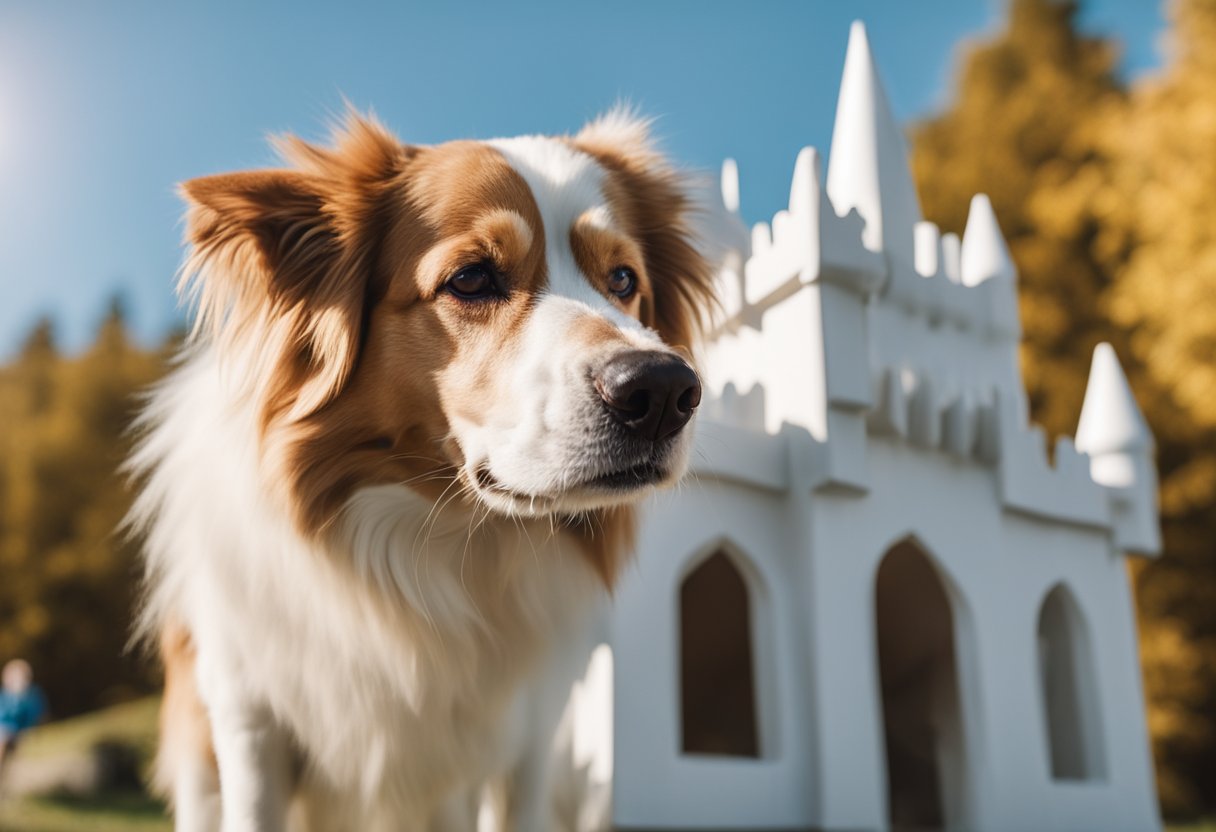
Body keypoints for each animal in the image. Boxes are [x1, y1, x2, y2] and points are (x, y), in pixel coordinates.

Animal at [130, 111, 719, 832]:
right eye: (470, 279)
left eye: (625, 281)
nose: (664, 391)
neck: (442, 545)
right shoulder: (248, 718)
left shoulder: (527, 734)